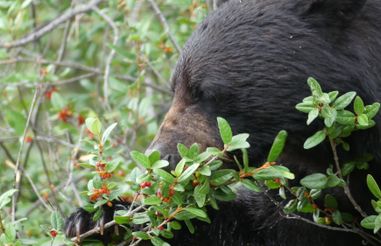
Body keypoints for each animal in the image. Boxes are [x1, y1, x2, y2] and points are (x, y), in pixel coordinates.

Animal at [65, 0, 380, 245]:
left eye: (203, 91)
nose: (160, 159)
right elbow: (251, 225)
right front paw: (99, 218)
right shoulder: (302, 189)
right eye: (174, 87)